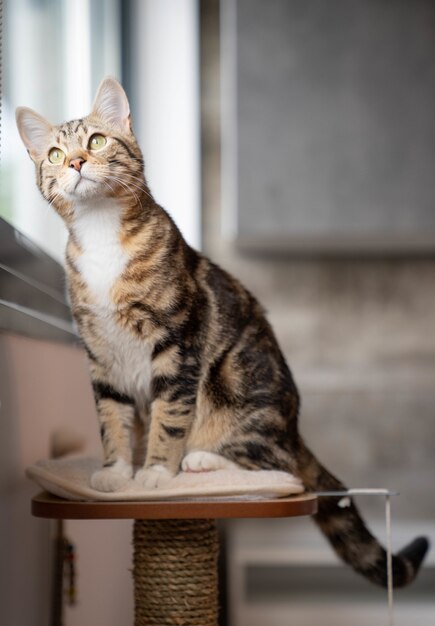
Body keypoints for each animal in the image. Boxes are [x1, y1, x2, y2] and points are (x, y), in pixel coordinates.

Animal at [16, 77, 430, 584]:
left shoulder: (178, 342)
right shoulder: (100, 353)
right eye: (55, 154)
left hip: (236, 386)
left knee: (281, 465)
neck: (102, 237)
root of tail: (293, 429)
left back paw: (202, 459)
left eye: (95, 142)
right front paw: (117, 472)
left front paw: (156, 473)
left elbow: (169, 415)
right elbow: (111, 417)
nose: (75, 162)